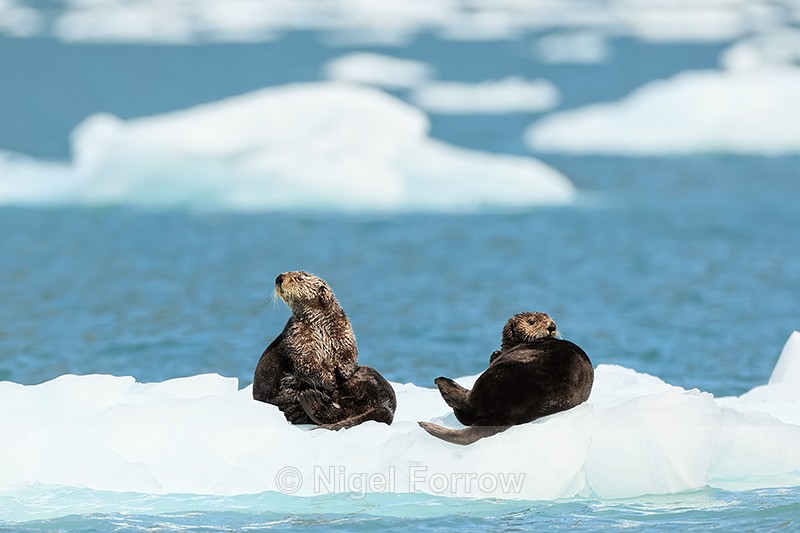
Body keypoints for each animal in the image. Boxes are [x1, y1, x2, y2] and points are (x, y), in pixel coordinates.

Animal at [252, 271, 395, 428]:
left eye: (299, 278)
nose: (279, 278)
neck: (319, 325)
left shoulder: (343, 330)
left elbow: (349, 351)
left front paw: (343, 374)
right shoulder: (297, 336)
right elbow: (305, 362)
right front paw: (330, 381)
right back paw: (312, 398)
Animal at [419, 312, 593, 445]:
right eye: (532, 321)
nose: (552, 326)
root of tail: (506, 414)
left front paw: (494, 354)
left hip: (495, 377)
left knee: (468, 406)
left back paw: (443, 384)